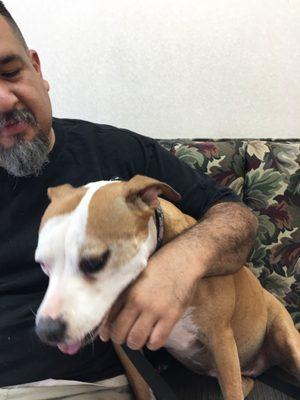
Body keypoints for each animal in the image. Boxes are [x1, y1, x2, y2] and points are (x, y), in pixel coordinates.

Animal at [34, 176, 300, 400]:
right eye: (43, 264)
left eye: (95, 261)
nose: (47, 331)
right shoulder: (128, 351)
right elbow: (143, 387)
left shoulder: (221, 340)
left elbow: (231, 392)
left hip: (285, 339)